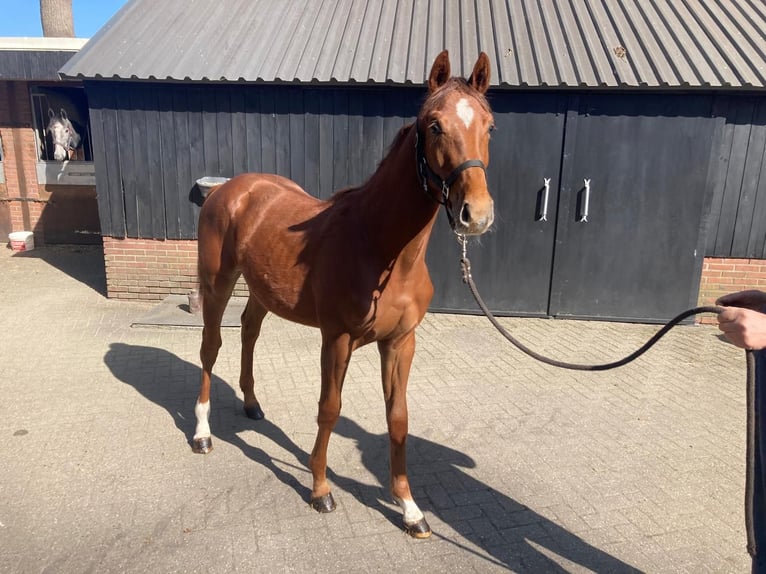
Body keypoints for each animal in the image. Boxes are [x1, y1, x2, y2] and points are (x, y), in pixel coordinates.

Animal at [193, 50, 495, 538]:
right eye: (434, 125)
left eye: (489, 126)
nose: (477, 215)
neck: (379, 245)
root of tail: (229, 189)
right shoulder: (336, 339)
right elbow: (329, 409)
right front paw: (320, 490)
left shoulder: (400, 343)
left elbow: (398, 418)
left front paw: (409, 508)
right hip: (217, 283)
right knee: (210, 348)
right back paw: (202, 432)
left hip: (261, 290)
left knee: (249, 332)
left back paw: (252, 404)